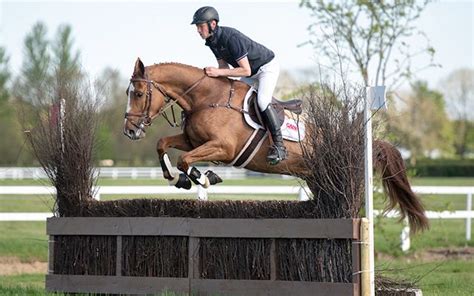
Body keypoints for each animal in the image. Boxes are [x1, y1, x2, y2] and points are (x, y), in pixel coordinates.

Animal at [122, 57, 430, 232]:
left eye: (138, 93)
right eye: (128, 92)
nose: (129, 131)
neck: (206, 98)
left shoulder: (223, 148)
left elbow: (186, 160)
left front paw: (205, 178)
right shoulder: (192, 140)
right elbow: (163, 144)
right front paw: (176, 178)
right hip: (317, 178)